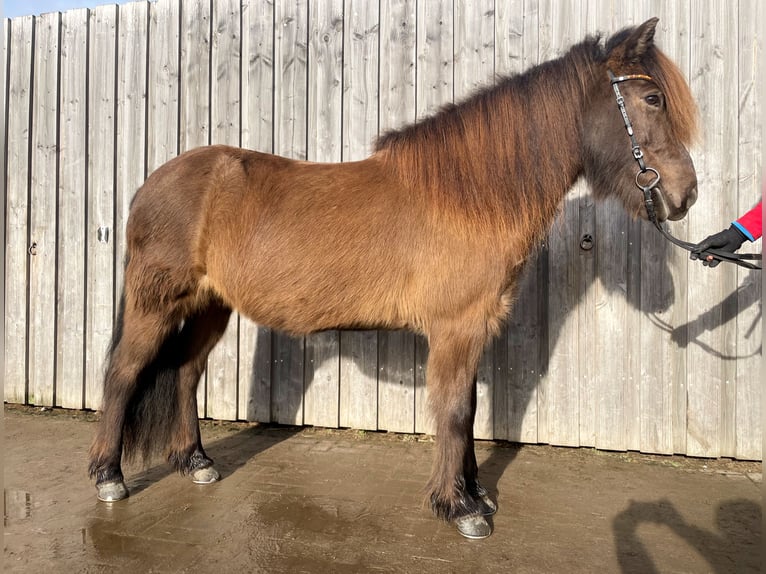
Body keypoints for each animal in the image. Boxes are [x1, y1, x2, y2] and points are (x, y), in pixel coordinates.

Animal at [89, 18, 698, 539]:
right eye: (652, 99)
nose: (685, 194)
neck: (469, 196)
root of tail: (154, 183)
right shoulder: (456, 328)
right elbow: (453, 411)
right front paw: (459, 507)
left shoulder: (472, 330)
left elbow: (465, 409)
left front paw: (475, 493)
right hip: (156, 303)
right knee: (123, 373)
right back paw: (109, 478)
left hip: (211, 305)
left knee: (185, 371)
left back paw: (196, 462)